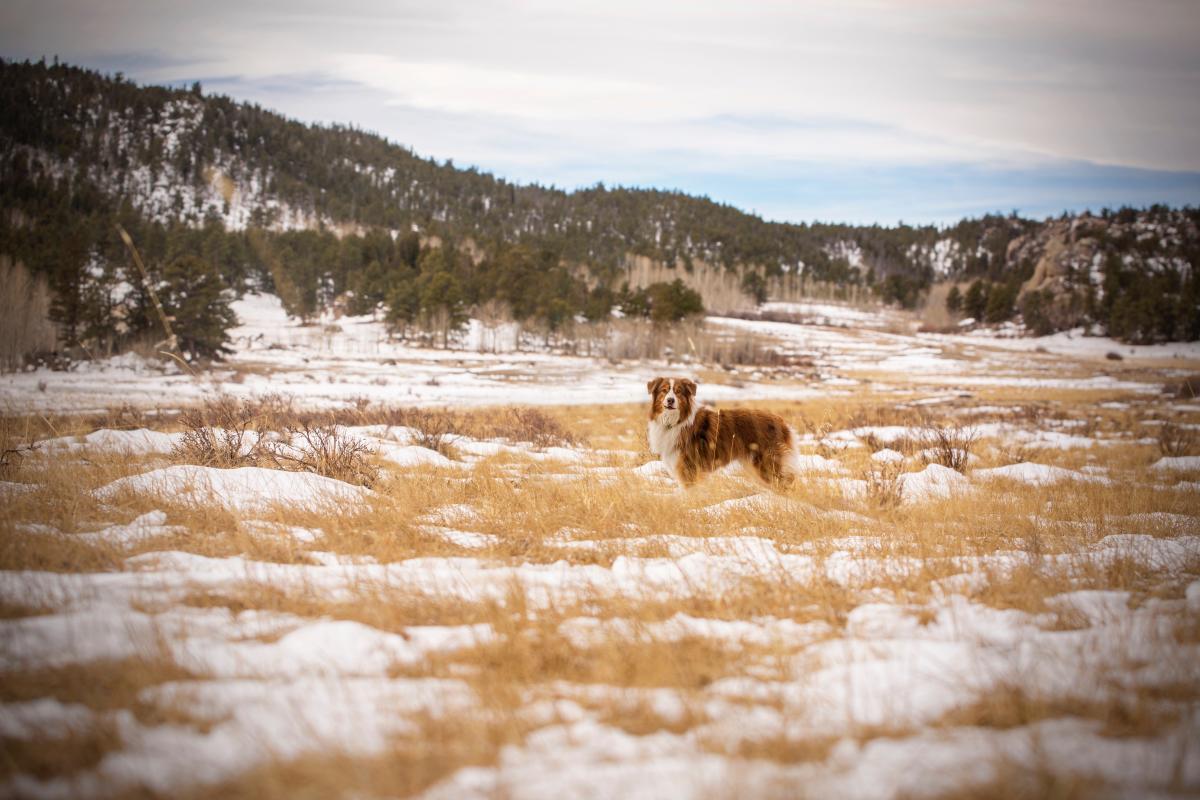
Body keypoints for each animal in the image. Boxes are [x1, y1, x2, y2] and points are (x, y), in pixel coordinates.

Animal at [648, 376, 796, 489]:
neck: (675, 422)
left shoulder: (689, 469)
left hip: (766, 464)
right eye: (664, 391)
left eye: (678, 392)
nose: (670, 400)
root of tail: (781, 421)